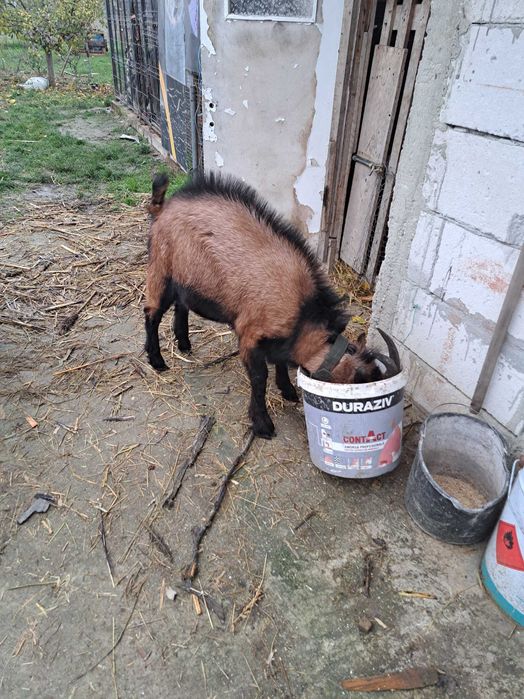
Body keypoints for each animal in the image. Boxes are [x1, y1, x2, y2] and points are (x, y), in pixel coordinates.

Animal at [144, 172, 399, 438]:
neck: (303, 312)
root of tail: (162, 208)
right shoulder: (250, 335)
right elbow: (259, 377)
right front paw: (263, 424)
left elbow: (280, 362)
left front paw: (287, 390)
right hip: (161, 269)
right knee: (152, 313)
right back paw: (158, 361)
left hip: (185, 279)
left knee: (181, 305)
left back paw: (184, 344)